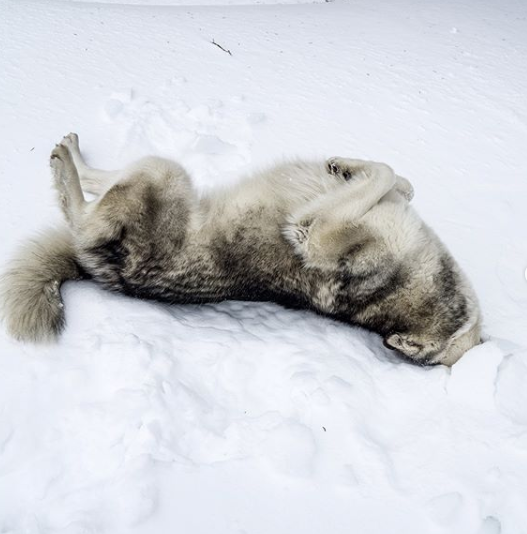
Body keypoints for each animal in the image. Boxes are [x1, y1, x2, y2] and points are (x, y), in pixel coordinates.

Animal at [0, 136, 480, 366]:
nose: (397, 343)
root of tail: (100, 272)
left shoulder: (313, 233)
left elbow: (386, 173)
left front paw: (348, 168)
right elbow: (397, 177)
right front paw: (344, 166)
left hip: (163, 174)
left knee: (79, 213)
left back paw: (64, 165)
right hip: (167, 174)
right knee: (95, 187)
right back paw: (69, 153)